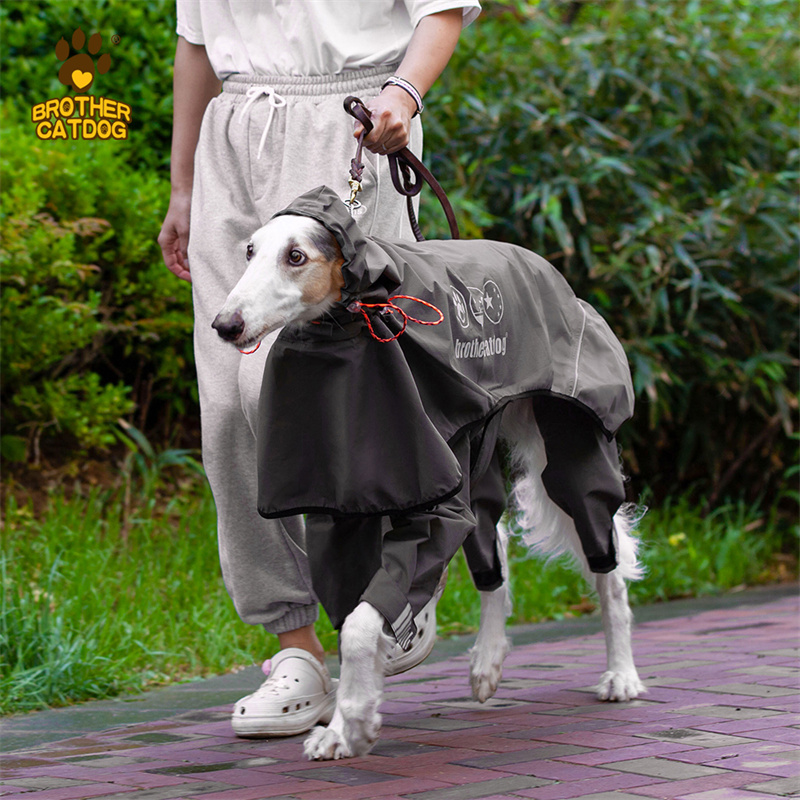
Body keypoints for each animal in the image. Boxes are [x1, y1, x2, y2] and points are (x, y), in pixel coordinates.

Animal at [211, 186, 644, 764]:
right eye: (250, 252)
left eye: (296, 256)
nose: (225, 325)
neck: (354, 322)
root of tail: (545, 268)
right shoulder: (342, 504)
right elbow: (353, 616)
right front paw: (350, 723)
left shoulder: (432, 500)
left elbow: (361, 624)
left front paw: (351, 723)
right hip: (473, 454)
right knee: (493, 544)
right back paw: (487, 661)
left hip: (569, 443)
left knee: (606, 561)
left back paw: (622, 674)